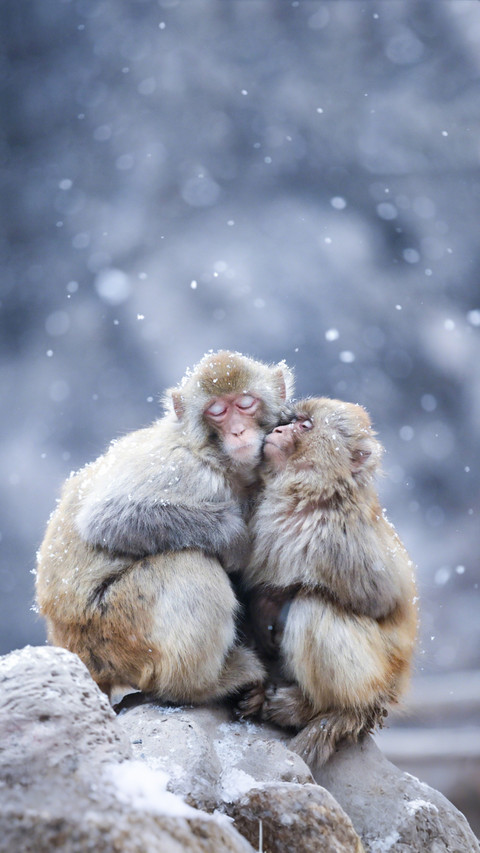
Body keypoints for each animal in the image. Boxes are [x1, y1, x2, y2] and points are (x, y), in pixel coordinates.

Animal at [35, 350, 294, 708]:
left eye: (245, 403)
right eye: (217, 411)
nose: (239, 432)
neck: (218, 458)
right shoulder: (184, 468)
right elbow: (108, 517)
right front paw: (234, 538)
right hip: (115, 630)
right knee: (186, 564)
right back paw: (202, 685)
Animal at [239, 397, 418, 767]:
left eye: (305, 426)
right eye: (293, 420)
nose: (279, 430)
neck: (311, 493)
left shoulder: (343, 538)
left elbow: (379, 600)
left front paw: (270, 600)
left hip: (375, 678)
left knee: (313, 607)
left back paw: (320, 709)